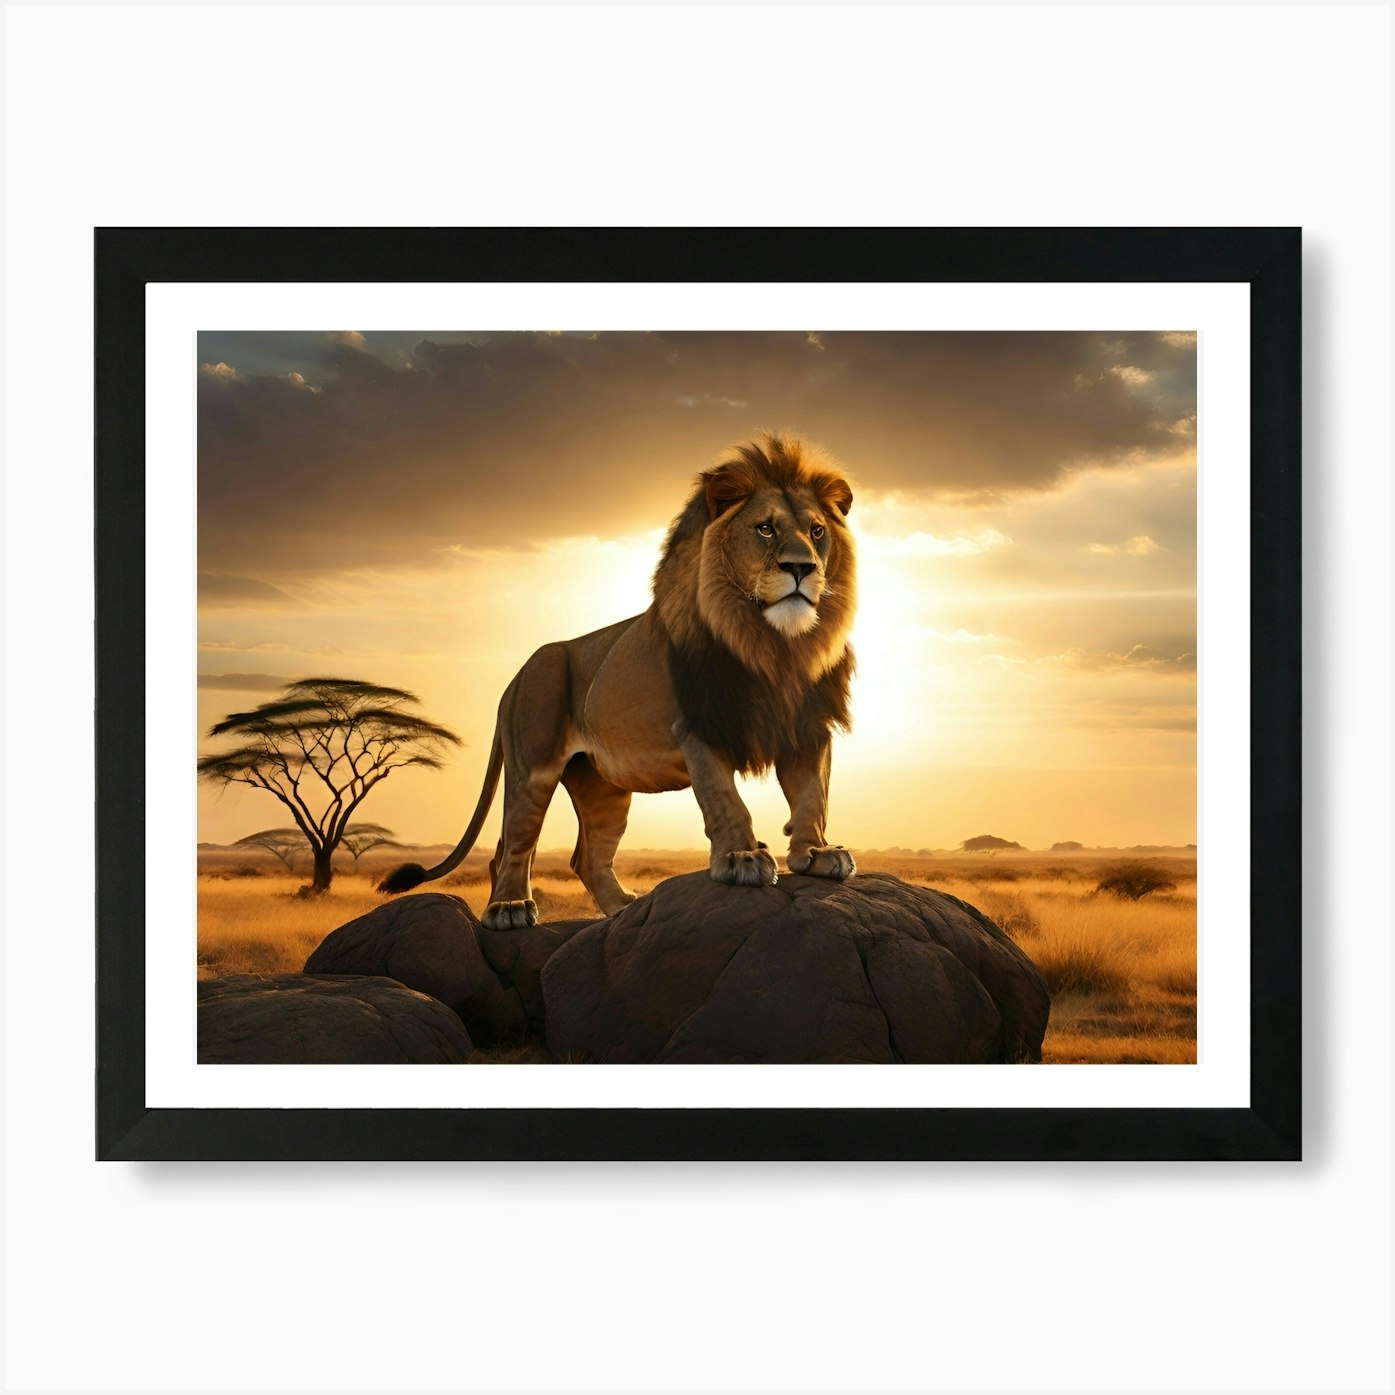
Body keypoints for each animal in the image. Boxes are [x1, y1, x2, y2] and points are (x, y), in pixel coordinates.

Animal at [378, 432, 858, 929]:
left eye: (816, 531)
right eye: (765, 529)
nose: (801, 568)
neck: (776, 645)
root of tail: (513, 681)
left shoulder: (807, 726)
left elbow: (812, 795)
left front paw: (817, 853)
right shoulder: (698, 727)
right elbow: (725, 799)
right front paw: (742, 858)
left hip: (602, 787)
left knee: (585, 857)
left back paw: (624, 908)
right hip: (534, 760)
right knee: (513, 844)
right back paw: (508, 908)